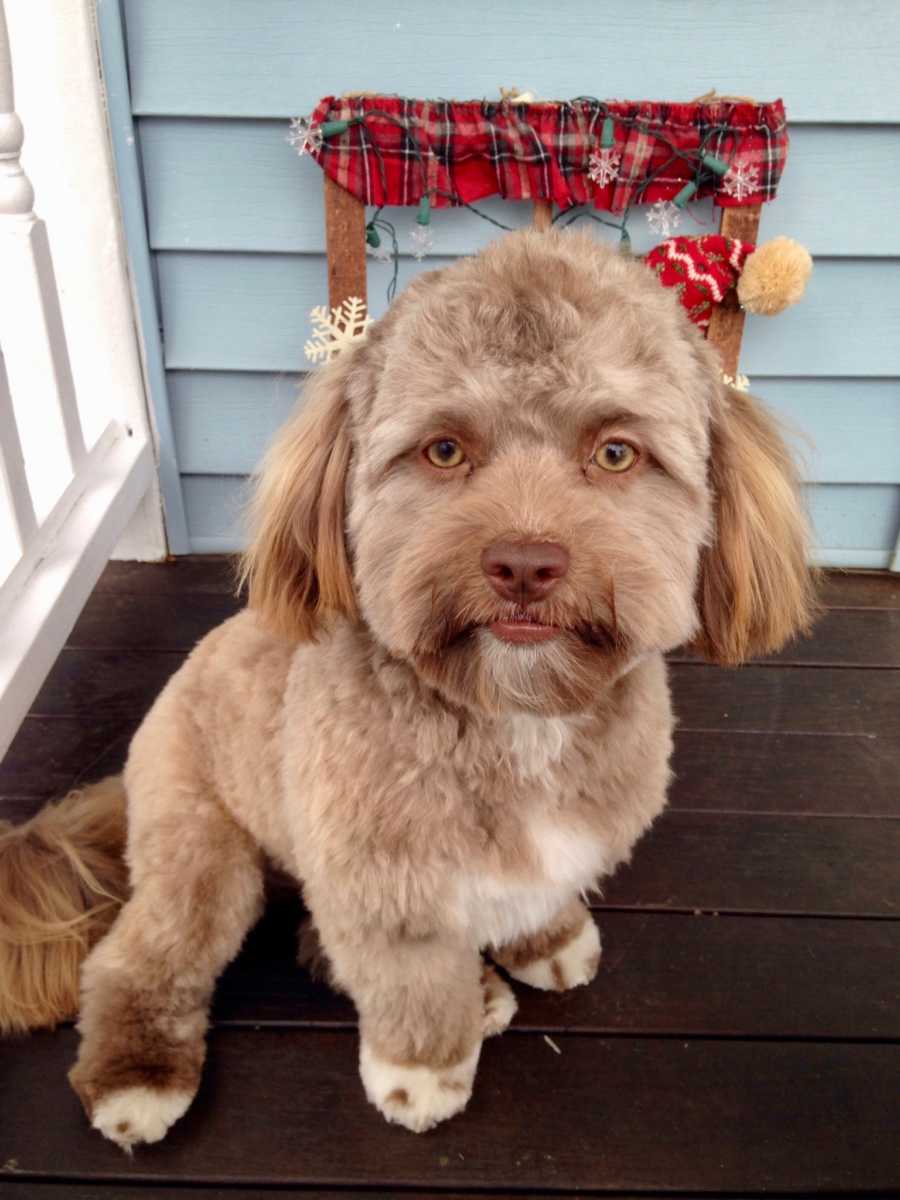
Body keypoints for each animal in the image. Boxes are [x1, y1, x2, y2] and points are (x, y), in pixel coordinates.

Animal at [1, 231, 816, 1142]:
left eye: (614, 453)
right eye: (444, 451)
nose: (524, 565)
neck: (512, 716)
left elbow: (536, 898)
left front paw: (545, 942)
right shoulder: (384, 890)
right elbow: (411, 990)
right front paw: (421, 1075)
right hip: (201, 851)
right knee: (143, 953)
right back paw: (136, 1075)